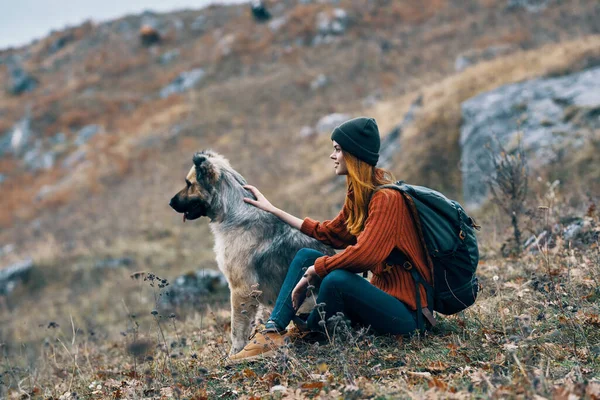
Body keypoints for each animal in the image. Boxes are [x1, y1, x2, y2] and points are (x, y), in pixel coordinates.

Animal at [170, 150, 332, 354]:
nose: (170, 203)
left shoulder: (241, 288)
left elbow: (237, 328)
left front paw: (235, 352)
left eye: (189, 184)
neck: (233, 212)